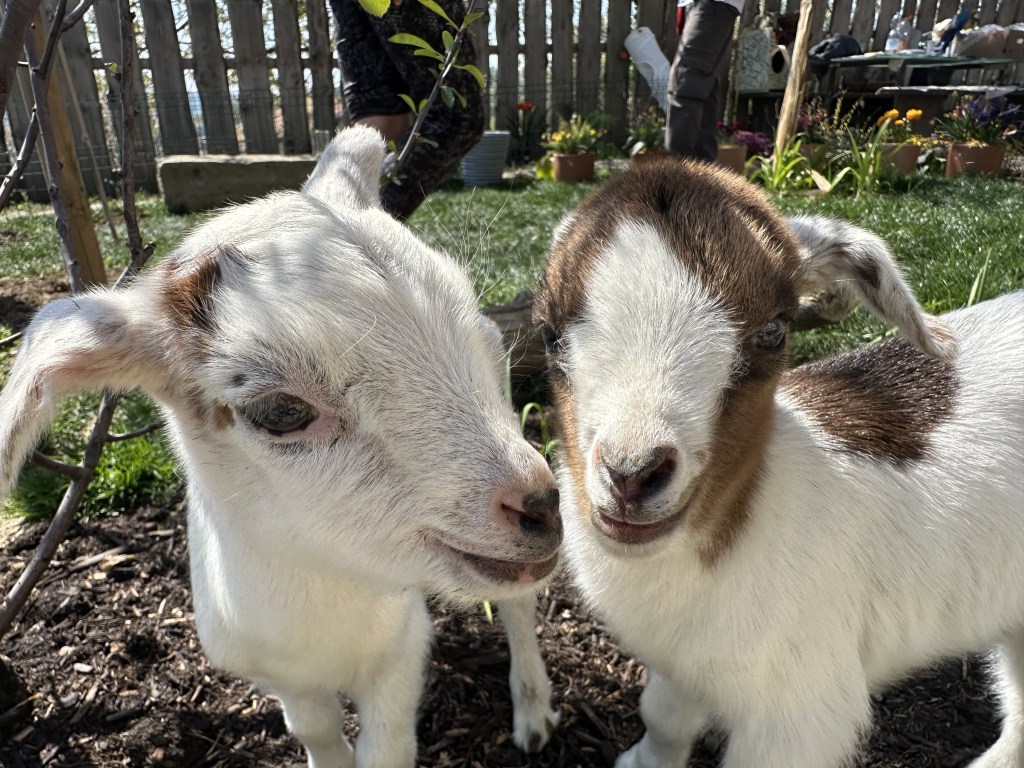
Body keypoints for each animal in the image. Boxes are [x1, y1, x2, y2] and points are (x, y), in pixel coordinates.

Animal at [0, 126, 562, 768]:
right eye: (282, 412)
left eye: (473, 336)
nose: (541, 505)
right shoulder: (280, 678)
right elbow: (314, 731)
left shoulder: (400, 650)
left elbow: (387, 748)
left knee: (520, 603)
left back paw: (533, 714)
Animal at [533, 157, 1024, 768]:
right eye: (548, 333)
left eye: (773, 331)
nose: (631, 473)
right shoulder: (680, 662)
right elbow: (663, 715)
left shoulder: (801, 706)